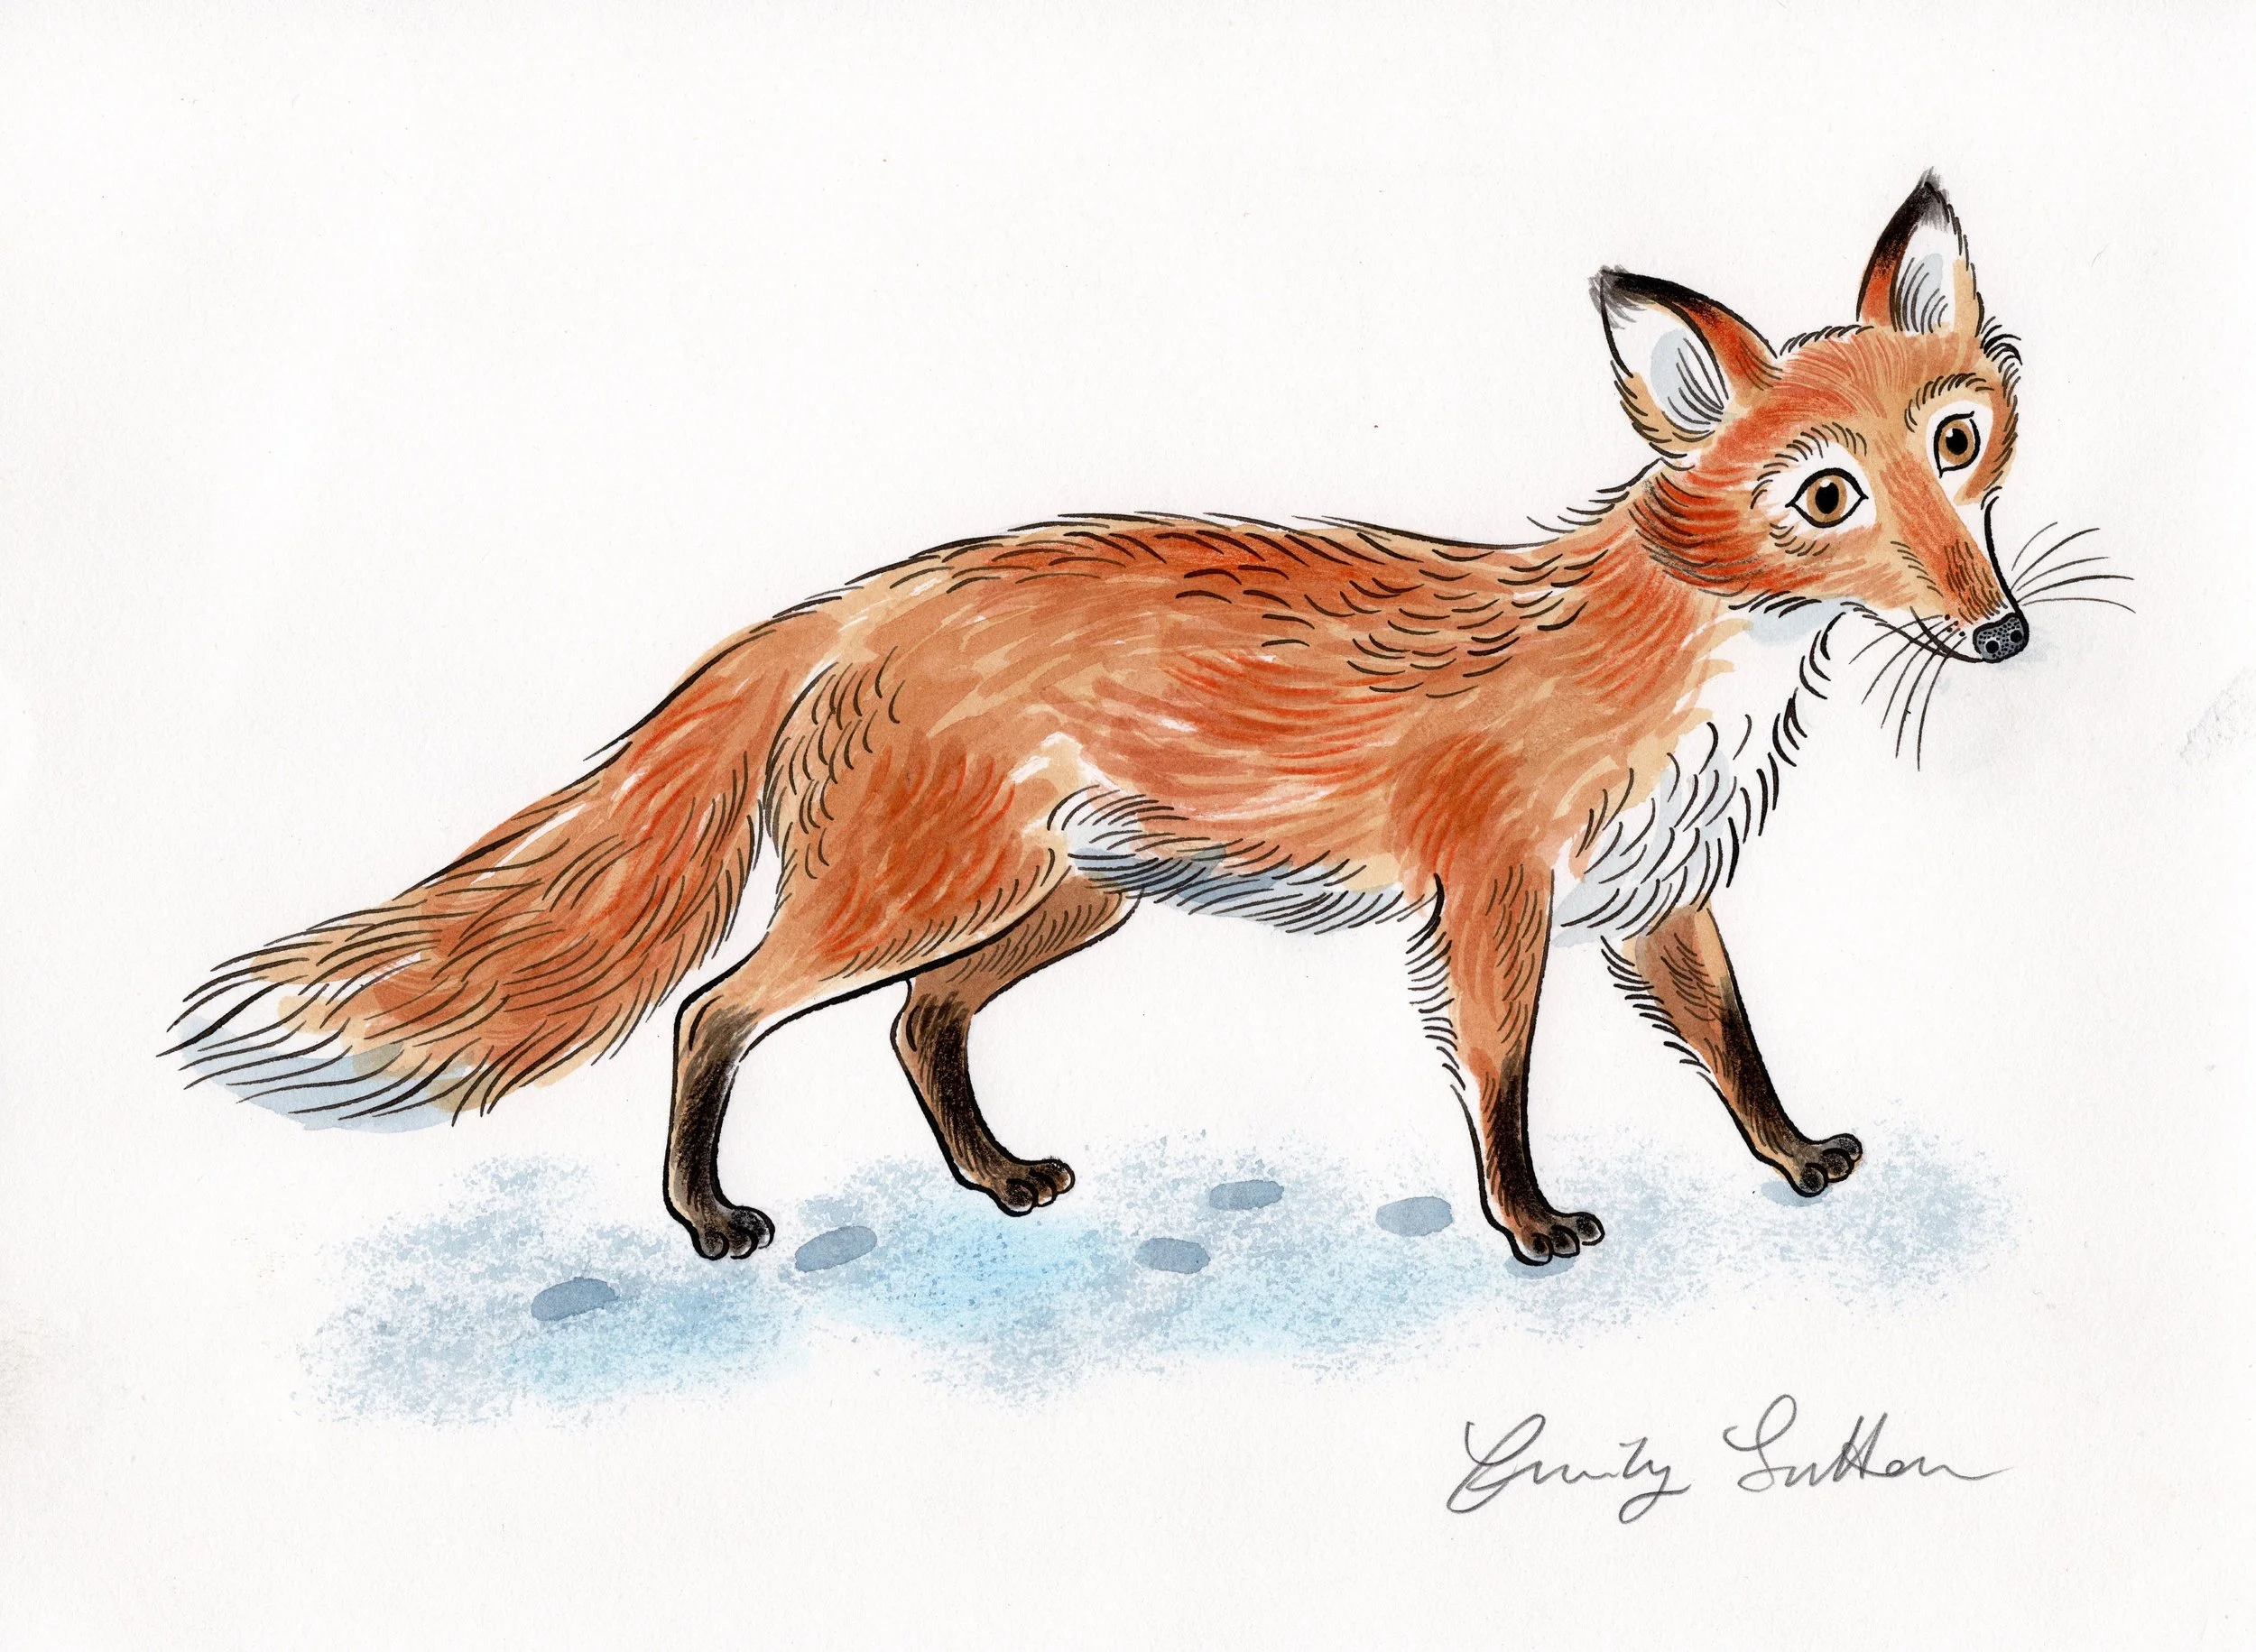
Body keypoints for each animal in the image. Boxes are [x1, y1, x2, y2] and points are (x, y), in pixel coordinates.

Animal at [174, 174, 2046, 1267]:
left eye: (1958, 447)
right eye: (1824, 496)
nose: (2005, 630)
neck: (1680, 657)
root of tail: (851, 598)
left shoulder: (1657, 901)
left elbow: (1737, 1049)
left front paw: (1796, 1159)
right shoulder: (1495, 898)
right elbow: (1504, 1078)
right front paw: (1526, 1223)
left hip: (1057, 904)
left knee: (915, 1026)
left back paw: (995, 1183)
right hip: (923, 895)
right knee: (717, 1011)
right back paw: (706, 1216)